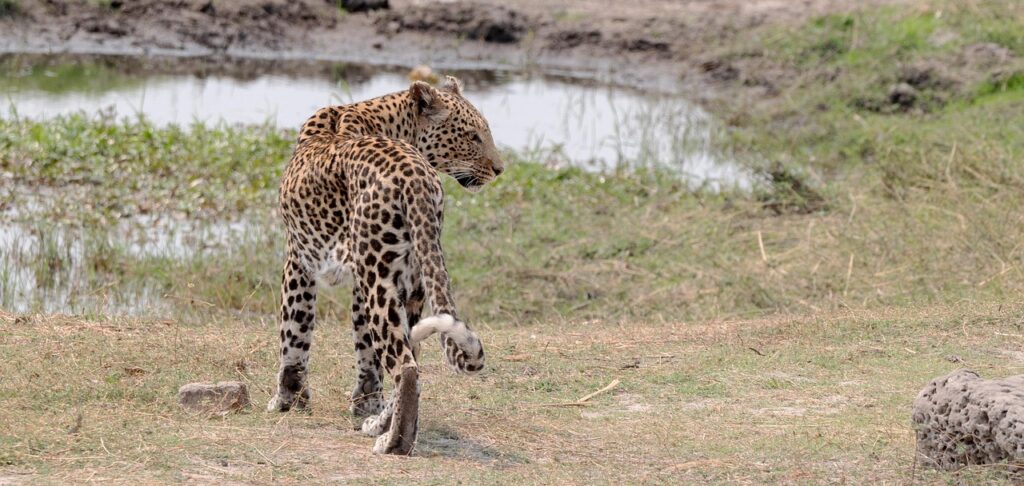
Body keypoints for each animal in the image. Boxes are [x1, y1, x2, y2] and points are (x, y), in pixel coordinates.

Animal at [266, 76, 503, 455]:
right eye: (473, 136)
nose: (500, 169)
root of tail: (416, 176)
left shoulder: (299, 258)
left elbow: (294, 333)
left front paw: (288, 399)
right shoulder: (367, 281)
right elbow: (367, 355)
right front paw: (366, 406)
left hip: (376, 276)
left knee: (406, 367)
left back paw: (393, 442)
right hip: (409, 279)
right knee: (412, 360)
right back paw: (381, 425)